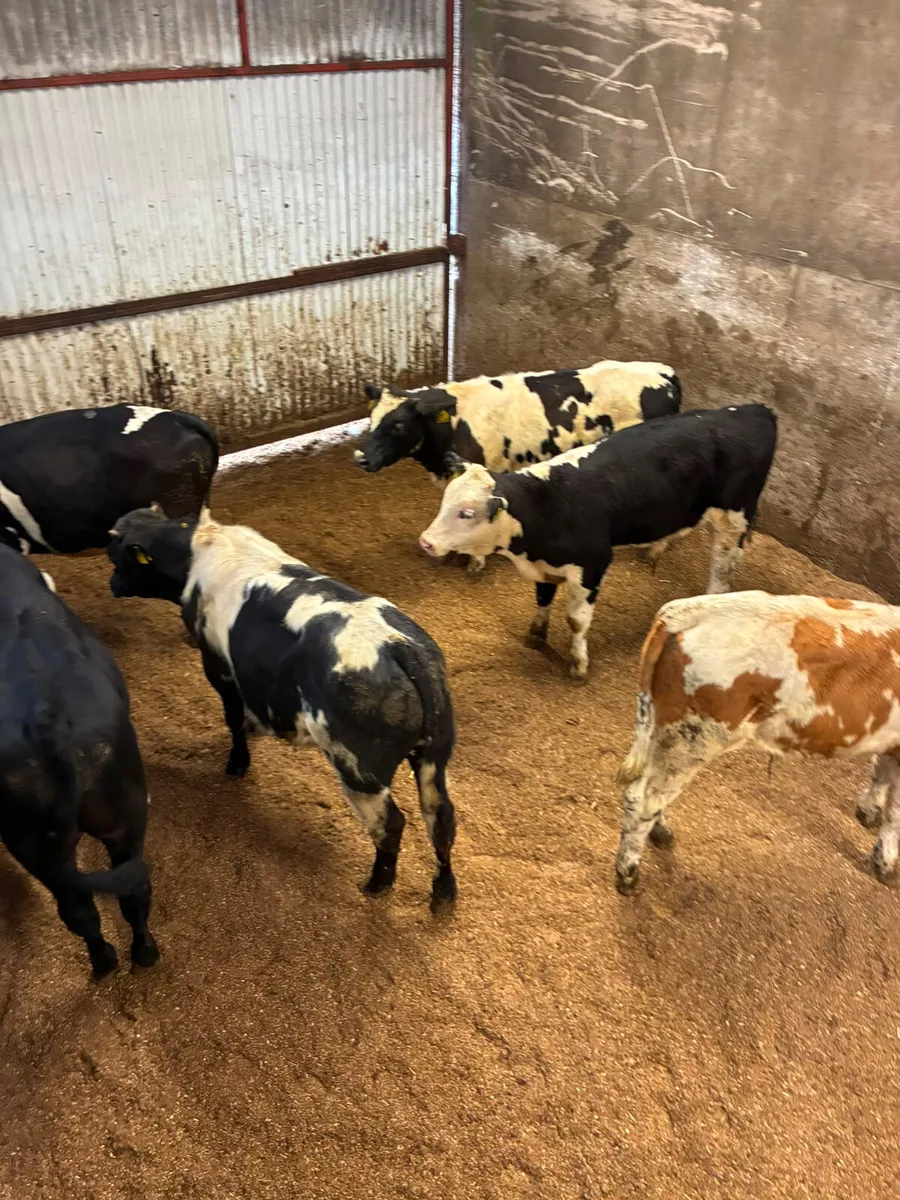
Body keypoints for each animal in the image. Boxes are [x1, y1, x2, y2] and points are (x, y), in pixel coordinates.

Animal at [0, 545, 158, 977]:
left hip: (40, 846)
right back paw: (131, 957)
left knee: (85, 907)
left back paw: (113, 961)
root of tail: (48, 725)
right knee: (123, 894)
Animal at [107, 507, 458, 912]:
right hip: (434, 756)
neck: (200, 548)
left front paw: (237, 762)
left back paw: (377, 884)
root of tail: (399, 646)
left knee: (391, 825)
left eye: (115, 556)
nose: (112, 584)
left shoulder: (217, 665)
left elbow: (233, 717)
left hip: (359, 771)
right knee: (440, 818)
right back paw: (444, 890)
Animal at [354, 360, 682, 573]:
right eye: (372, 418)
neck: (456, 424)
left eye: (398, 424)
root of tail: (664, 372)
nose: (361, 457)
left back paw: (655, 550)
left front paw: (474, 561)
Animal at [418, 405, 778, 681]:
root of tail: (754, 410)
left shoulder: (592, 564)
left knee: (723, 563)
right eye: (445, 501)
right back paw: (654, 550)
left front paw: (578, 663)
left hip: (734, 517)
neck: (547, 502)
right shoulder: (546, 564)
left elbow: (576, 619)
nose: (426, 542)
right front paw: (536, 635)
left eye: (466, 513)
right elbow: (542, 598)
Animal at [615, 590, 900, 894]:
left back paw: (660, 832)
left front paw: (868, 811)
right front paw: (886, 864)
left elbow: (880, 774)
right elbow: (895, 812)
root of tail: (681, 611)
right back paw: (628, 873)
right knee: (642, 799)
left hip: (663, 729)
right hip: (691, 740)